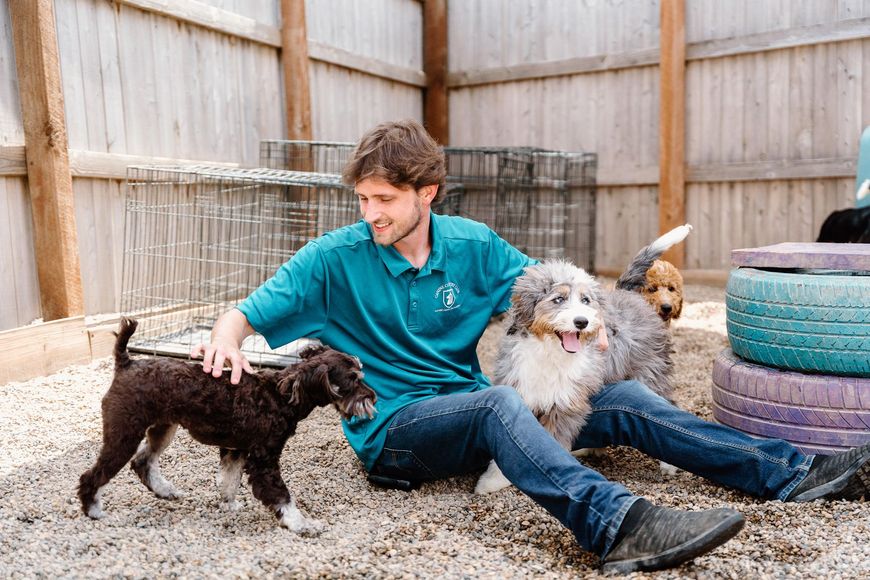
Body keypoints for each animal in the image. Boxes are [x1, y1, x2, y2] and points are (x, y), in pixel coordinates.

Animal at [82, 318, 378, 536]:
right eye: (353, 380)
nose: (373, 397)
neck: (282, 395)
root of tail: (126, 363)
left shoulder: (237, 450)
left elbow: (228, 480)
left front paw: (229, 504)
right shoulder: (263, 460)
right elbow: (282, 497)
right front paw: (303, 524)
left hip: (163, 429)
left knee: (143, 461)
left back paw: (165, 491)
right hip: (124, 434)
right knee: (93, 475)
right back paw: (93, 510)